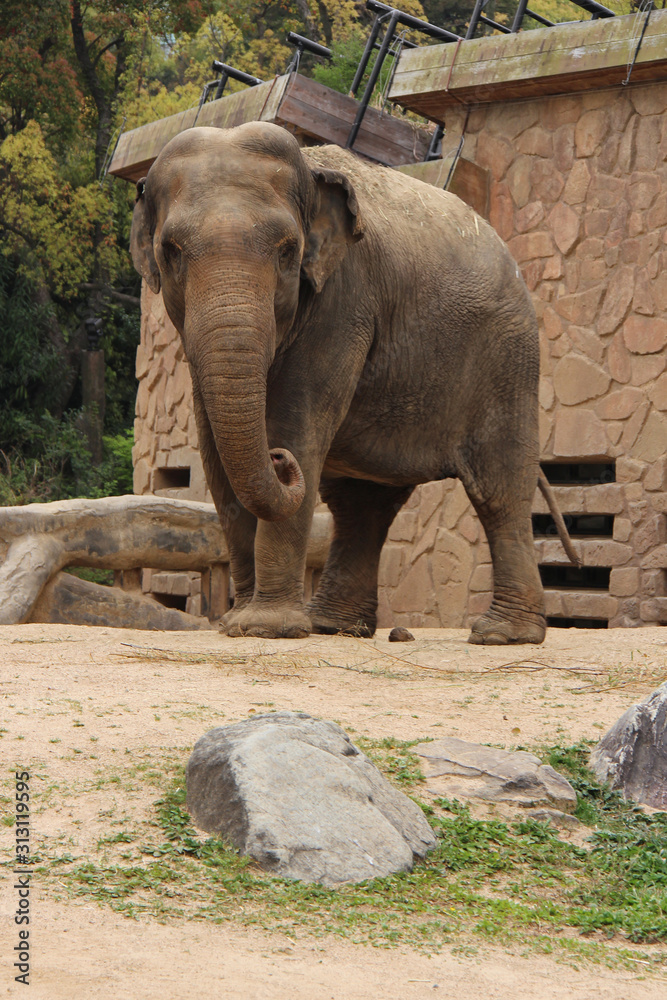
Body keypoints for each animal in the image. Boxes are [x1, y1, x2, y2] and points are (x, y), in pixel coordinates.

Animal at [130, 121, 575, 644]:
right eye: (171, 252)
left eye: (288, 251)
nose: (277, 461)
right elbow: (216, 458)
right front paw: (239, 624)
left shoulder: (344, 301)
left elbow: (296, 426)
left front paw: (266, 628)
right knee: (361, 505)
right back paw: (334, 626)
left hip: (509, 355)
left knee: (498, 488)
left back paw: (501, 635)